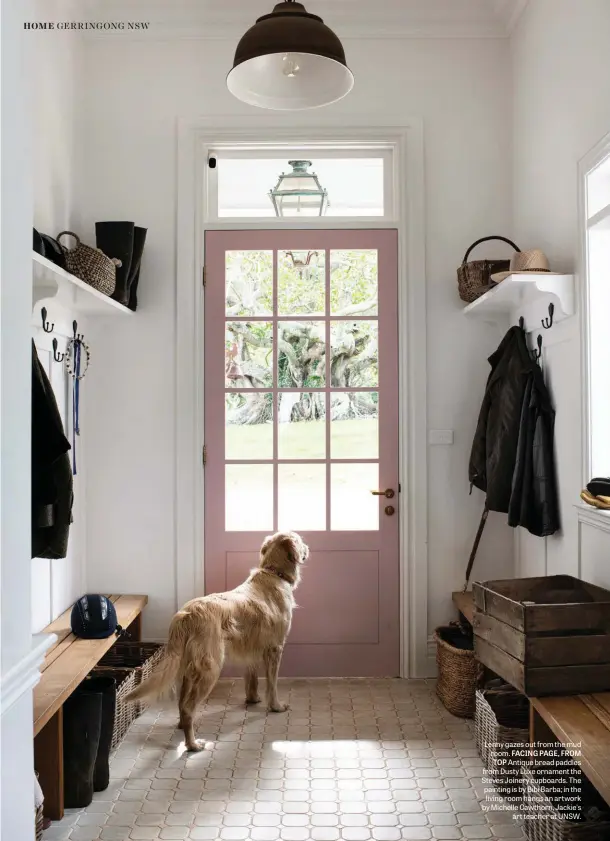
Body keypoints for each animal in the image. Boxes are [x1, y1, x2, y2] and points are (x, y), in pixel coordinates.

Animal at [125, 528, 306, 752]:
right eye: (301, 540)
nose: (307, 548)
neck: (273, 573)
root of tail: (186, 614)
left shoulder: (253, 649)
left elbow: (252, 678)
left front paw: (253, 699)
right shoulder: (275, 648)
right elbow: (272, 684)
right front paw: (276, 706)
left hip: (188, 669)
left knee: (182, 704)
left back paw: (183, 728)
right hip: (210, 668)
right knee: (188, 708)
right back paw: (193, 744)